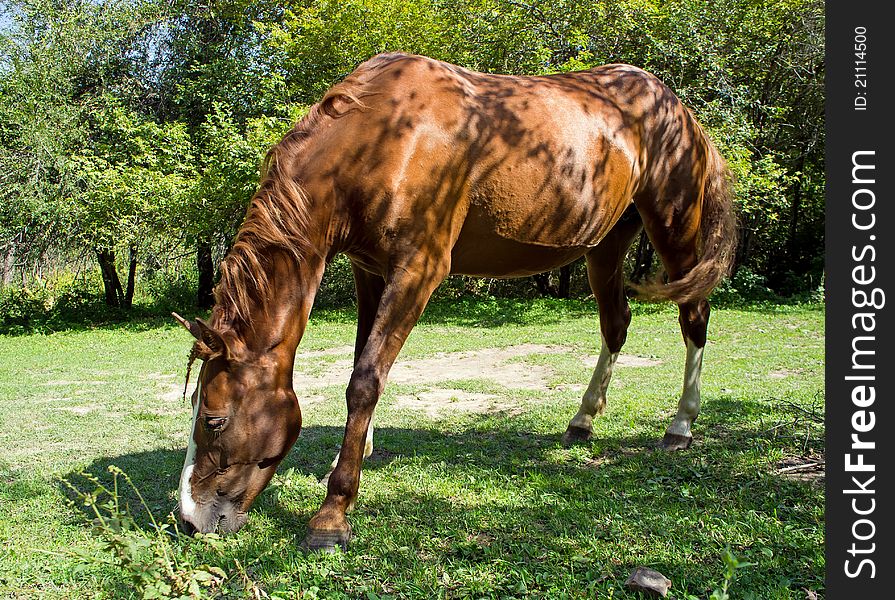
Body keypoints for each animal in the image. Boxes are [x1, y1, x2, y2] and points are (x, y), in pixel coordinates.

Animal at [168, 54, 736, 552]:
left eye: (213, 419)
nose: (189, 520)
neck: (384, 139)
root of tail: (676, 106)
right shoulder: (369, 270)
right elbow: (360, 363)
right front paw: (353, 456)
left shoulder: (418, 270)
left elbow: (365, 380)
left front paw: (333, 514)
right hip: (606, 246)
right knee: (616, 324)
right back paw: (583, 420)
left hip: (674, 230)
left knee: (694, 317)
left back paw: (681, 425)